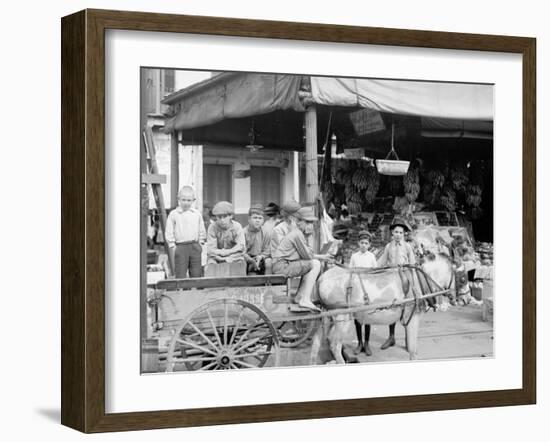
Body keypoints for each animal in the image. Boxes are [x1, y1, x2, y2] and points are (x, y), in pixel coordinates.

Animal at [312, 254, 472, 364]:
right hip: (342, 317)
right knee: (335, 345)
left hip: (328, 317)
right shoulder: (413, 317)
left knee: (318, 342)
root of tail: (322, 278)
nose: (468, 299)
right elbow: (413, 350)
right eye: (463, 278)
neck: (419, 280)